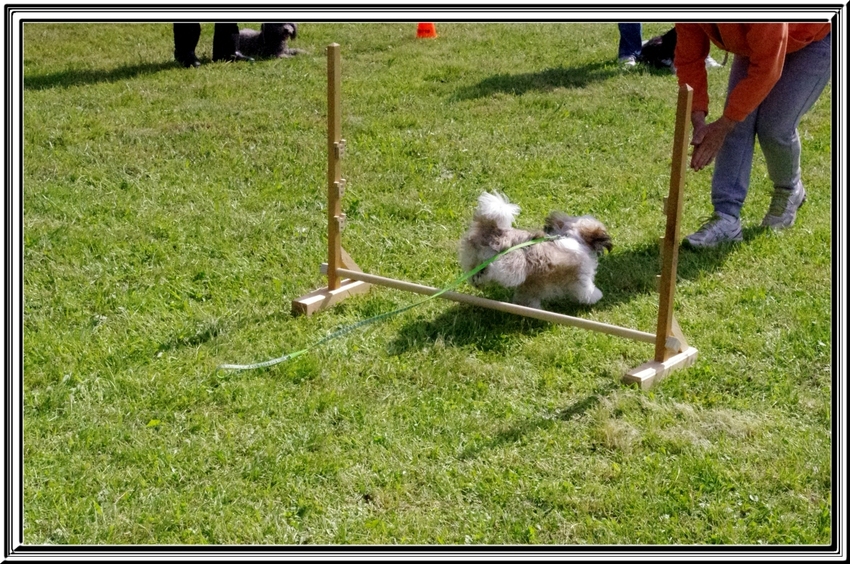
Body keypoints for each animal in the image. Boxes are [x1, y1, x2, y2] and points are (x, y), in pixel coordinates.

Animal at [458, 193, 608, 308]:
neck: (575, 238)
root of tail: (493, 232)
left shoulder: (530, 286)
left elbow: (528, 297)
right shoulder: (581, 277)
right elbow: (587, 291)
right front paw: (597, 296)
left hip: (471, 255)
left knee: (473, 270)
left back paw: (477, 279)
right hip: (513, 265)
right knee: (495, 271)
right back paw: (485, 274)